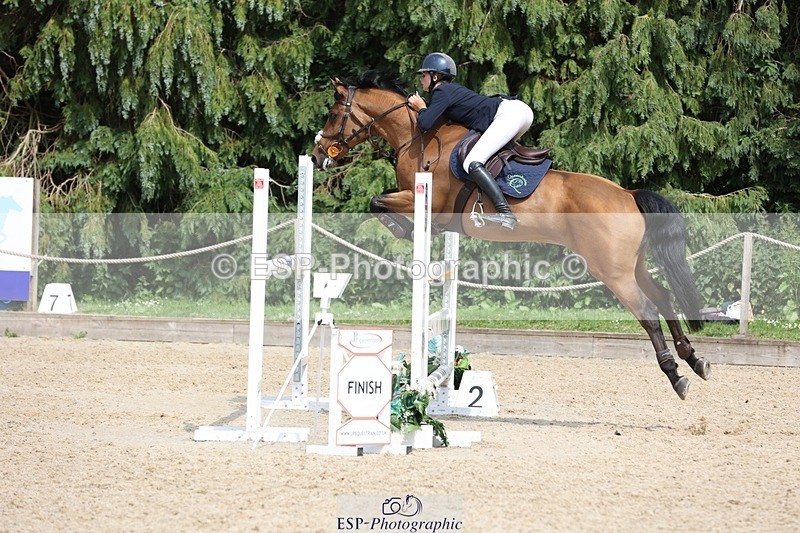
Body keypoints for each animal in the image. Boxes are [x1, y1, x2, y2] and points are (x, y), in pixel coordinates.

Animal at [310, 71, 711, 400]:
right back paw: (694, 359)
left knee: (647, 311)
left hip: (612, 270)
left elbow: (378, 202)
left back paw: (676, 374)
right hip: (633, 265)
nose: (316, 156)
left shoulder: (422, 198)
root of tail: (628, 195)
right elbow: (380, 203)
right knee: (663, 297)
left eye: (332, 114)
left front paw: (404, 230)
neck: (416, 137)